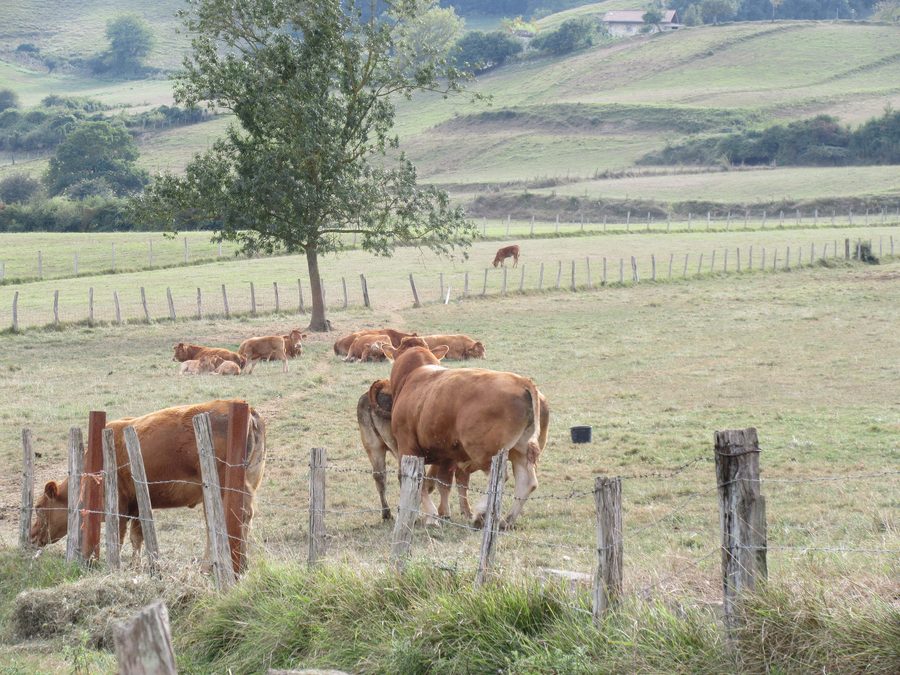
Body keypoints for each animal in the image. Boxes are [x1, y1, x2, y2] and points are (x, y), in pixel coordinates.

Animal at [29, 400, 266, 565]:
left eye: (39, 507)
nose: (31, 536)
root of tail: (246, 408)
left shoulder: (119, 505)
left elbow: (119, 537)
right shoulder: (137, 505)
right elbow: (138, 538)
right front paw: (138, 567)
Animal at [380, 337, 545, 528]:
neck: (413, 376)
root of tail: (521, 381)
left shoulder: (407, 446)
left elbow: (415, 479)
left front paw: (432, 516)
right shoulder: (446, 453)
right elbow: (443, 483)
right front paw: (443, 513)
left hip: (485, 452)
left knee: (499, 478)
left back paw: (481, 513)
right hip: (519, 449)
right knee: (527, 482)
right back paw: (507, 520)